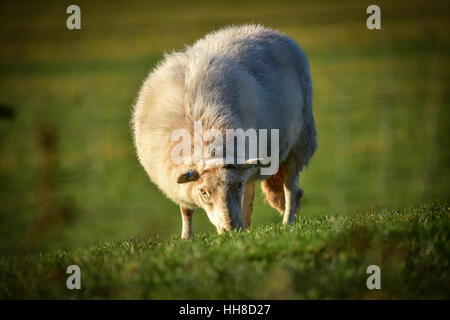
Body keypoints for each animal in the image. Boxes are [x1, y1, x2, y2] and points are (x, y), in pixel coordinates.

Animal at [132, 23, 318, 239]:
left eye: (236, 186)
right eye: (204, 192)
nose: (231, 229)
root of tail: (267, 30)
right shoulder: (177, 182)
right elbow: (186, 211)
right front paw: (186, 237)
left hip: (299, 143)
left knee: (290, 189)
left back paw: (286, 221)